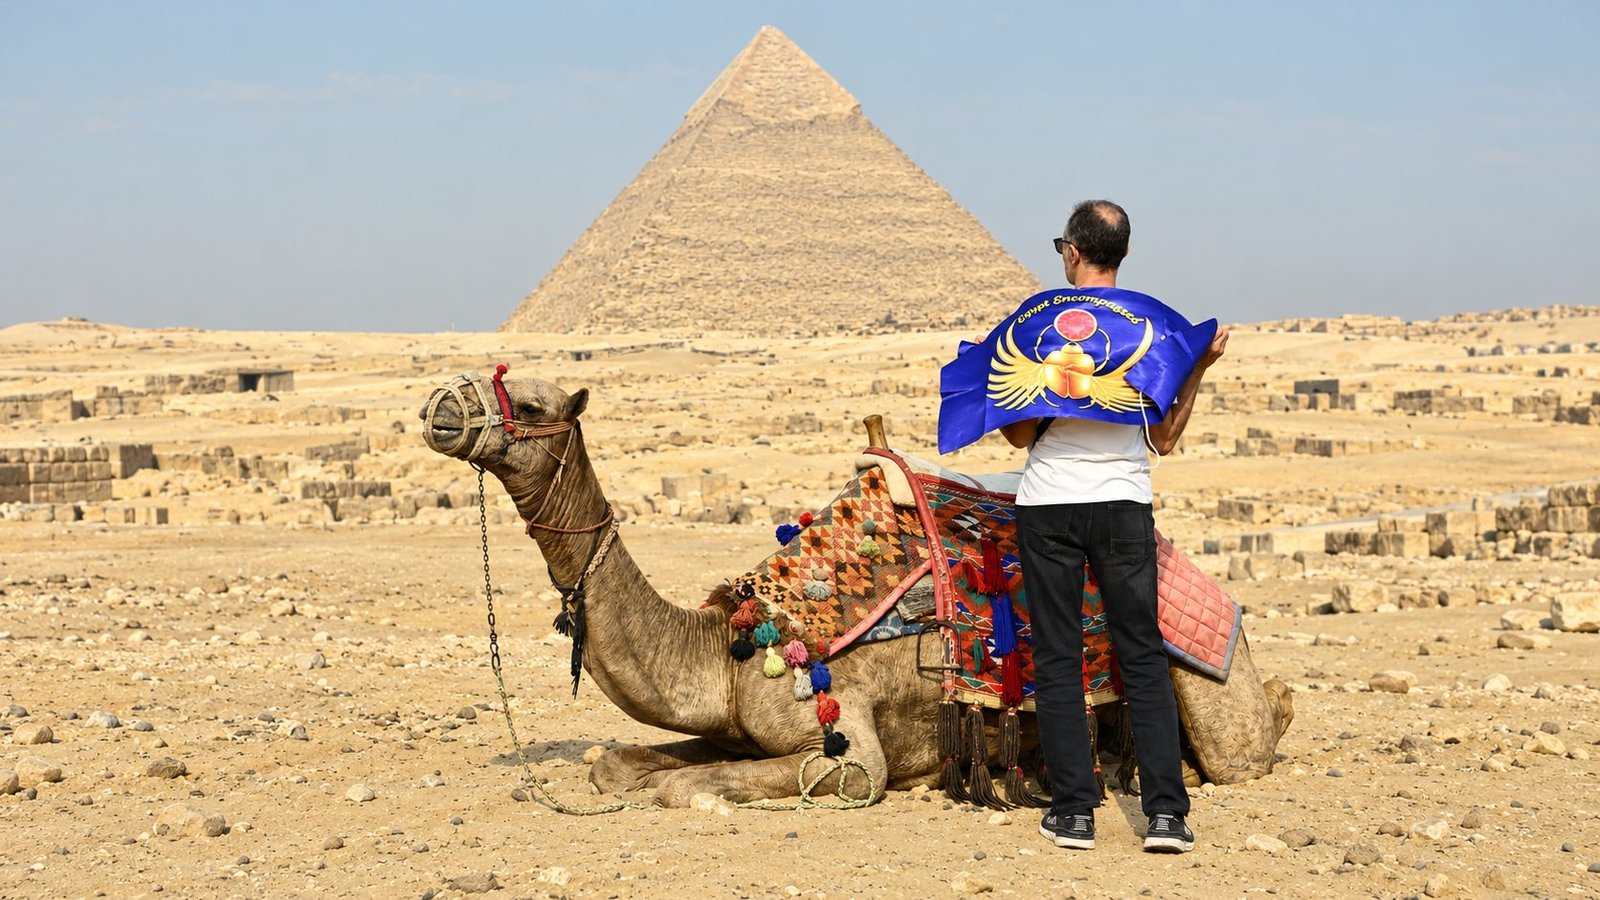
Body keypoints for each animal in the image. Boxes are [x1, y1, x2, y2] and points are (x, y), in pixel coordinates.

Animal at [420, 369, 1293, 808]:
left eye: (528, 402)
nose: (439, 405)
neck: (734, 643)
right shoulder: (733, 726)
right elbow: (621, 763)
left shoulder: (854, 750)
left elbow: (691, 786)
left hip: (1212, 683)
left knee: (1248, 743)